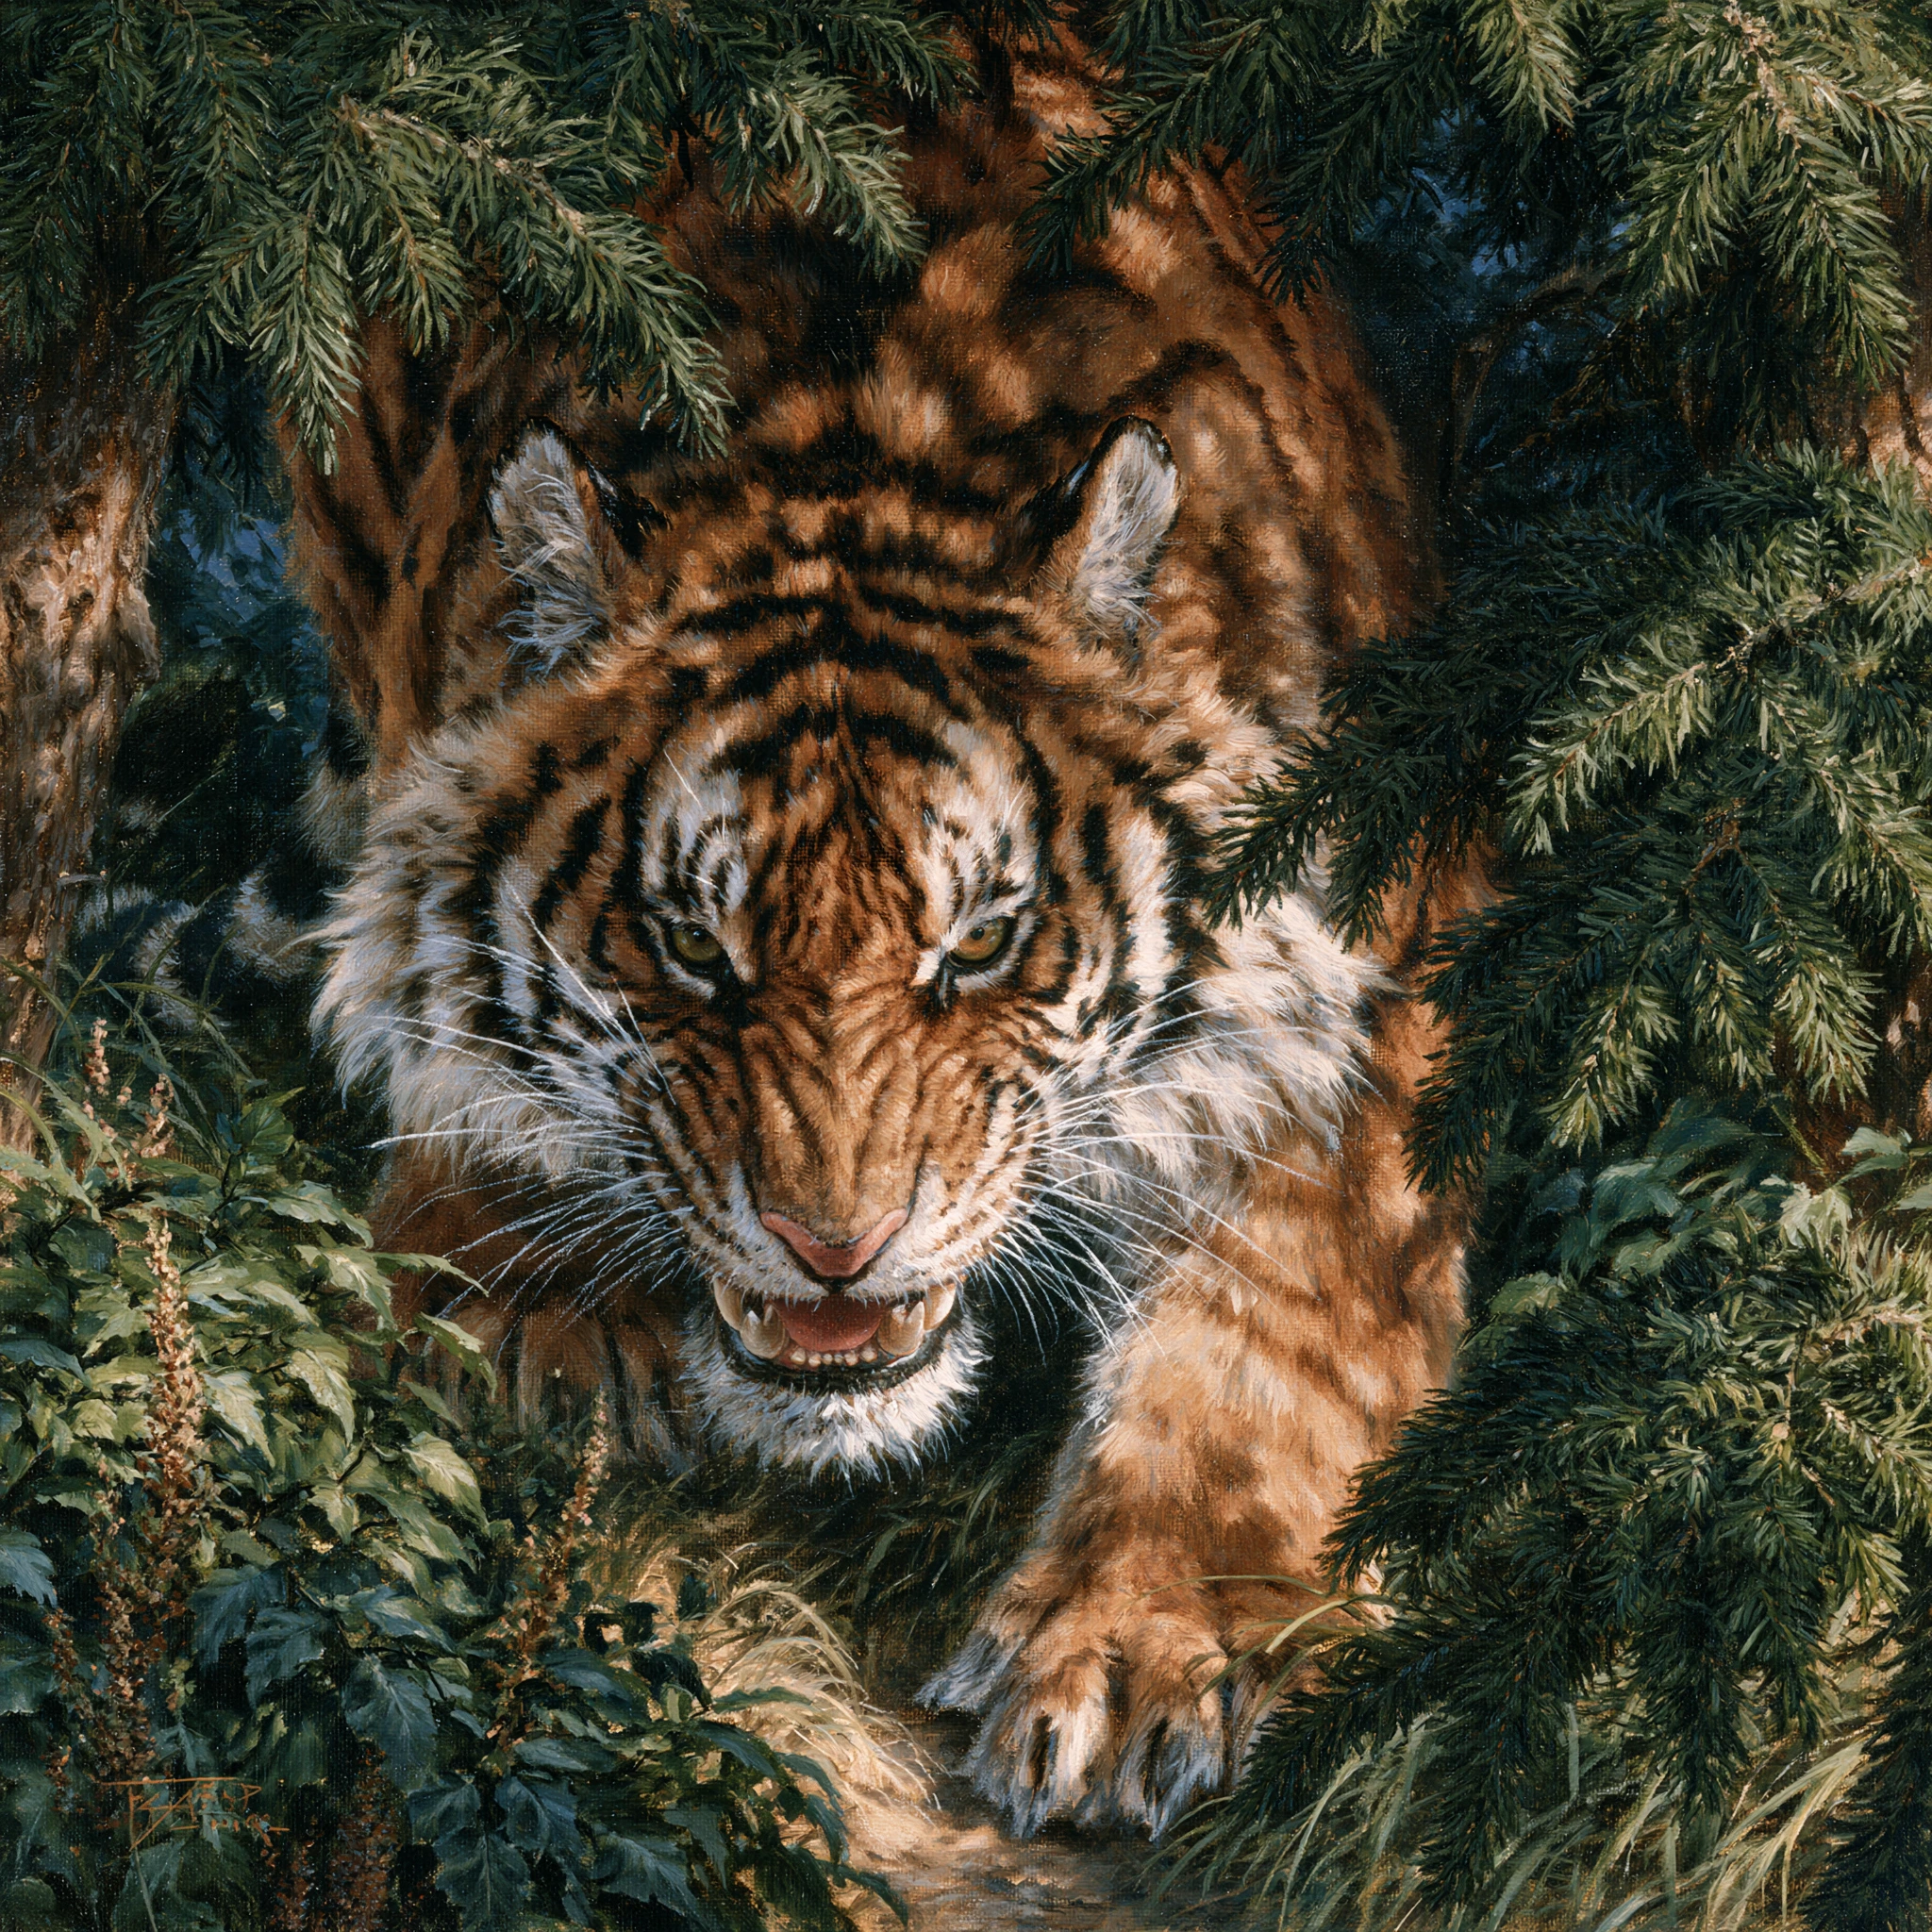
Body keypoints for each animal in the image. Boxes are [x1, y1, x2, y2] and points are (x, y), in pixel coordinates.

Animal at [306, 28, 1467, 1838]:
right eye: (694, 947)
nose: (835, 1249)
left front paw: (1136, 1648)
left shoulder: (1376, 960)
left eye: (977, 944)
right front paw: (535, 1314)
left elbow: (1273, 1322)